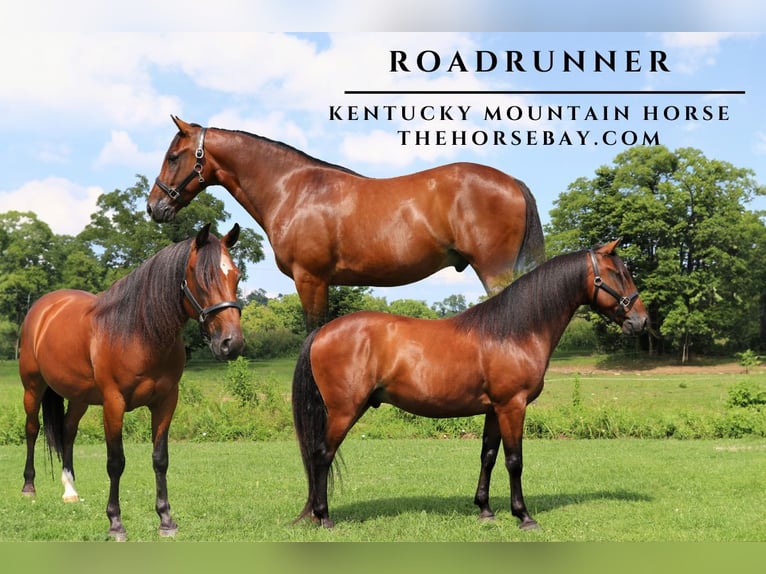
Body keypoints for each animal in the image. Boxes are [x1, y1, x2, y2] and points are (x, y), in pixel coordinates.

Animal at [19, 224, 244, 541]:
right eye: (204, 278)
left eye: (236, 275)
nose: (231, 343)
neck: (139, 331)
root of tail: (43, 308)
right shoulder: (114, 403)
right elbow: (116, 462)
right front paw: (115, 523)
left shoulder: (166, 402)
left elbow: (160, 459)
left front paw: (166, 520)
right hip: (32, 388)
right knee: (32, 429)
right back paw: (29, 487)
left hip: (79, 398)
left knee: (67, 431)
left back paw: (70, 490)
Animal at [146, 116, 545, 330]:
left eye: (174, 156)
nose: (154, 208)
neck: (291, 189)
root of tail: (512, 182)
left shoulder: (310, 279)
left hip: (495, 272)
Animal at [291, 239, 648, 530]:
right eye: (617, 273)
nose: (641, 322)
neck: (514, 332)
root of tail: (322, 331)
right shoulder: (513, 406)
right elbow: (514, 461)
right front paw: (524, 516)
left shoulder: (494, 409)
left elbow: (488, 456)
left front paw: (485, 510)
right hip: (344, 411)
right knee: (322, 455)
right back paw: (324, 517)